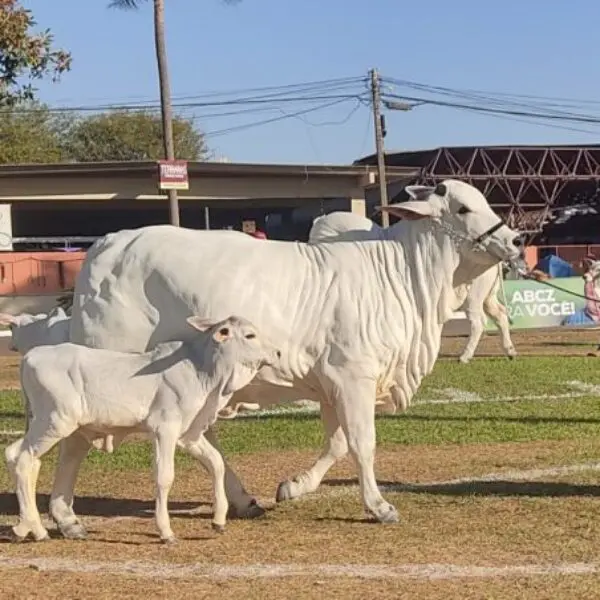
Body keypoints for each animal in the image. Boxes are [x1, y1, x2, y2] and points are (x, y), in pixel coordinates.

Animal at [4, 316, 278, 540]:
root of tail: (29, 357)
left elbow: (216, 463)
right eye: (250, 335)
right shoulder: (164, 429)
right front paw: (166, 532)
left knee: (20, 457)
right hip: (54, 422)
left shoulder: (188, 434)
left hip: (46, 424)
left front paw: (219, 520)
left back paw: (26, 527)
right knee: (23, 458)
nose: (277, 353)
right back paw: (36, 529)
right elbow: (164, 476)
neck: (200, 370)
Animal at [310, 210, 516, 360]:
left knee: (478, 321)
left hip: (473, 296)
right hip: (487, 295)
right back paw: (510, 350)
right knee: (500, 314)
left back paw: (465, 356)